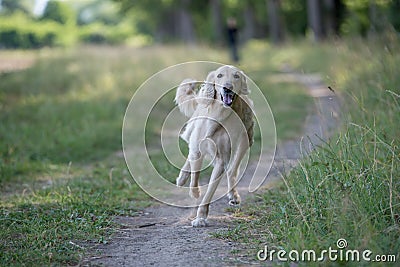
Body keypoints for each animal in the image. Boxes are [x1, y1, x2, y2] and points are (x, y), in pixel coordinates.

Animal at [174, 65, 253, 226]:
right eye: (219, 75)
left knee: (232, 171)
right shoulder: (198, 146)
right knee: (190, 156)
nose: (227, 88)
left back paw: (233, 195)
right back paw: (182, 178)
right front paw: (195, 192)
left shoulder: (222, 159)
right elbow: (194, 177)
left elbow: (210, 191)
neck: (219, 114)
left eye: (236, 76)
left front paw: (201, 217)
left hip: (245, 141)